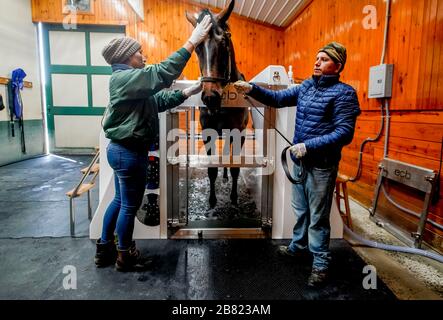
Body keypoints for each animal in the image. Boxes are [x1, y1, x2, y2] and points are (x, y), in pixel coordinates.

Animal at [186, 0, 250, 209]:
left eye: (223, 42)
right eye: (197, 47)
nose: (210, 96)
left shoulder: (238, 133)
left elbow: (235, 167)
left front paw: (234, 197)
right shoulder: (208, 133)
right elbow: (212, 169)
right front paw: (212, 200)